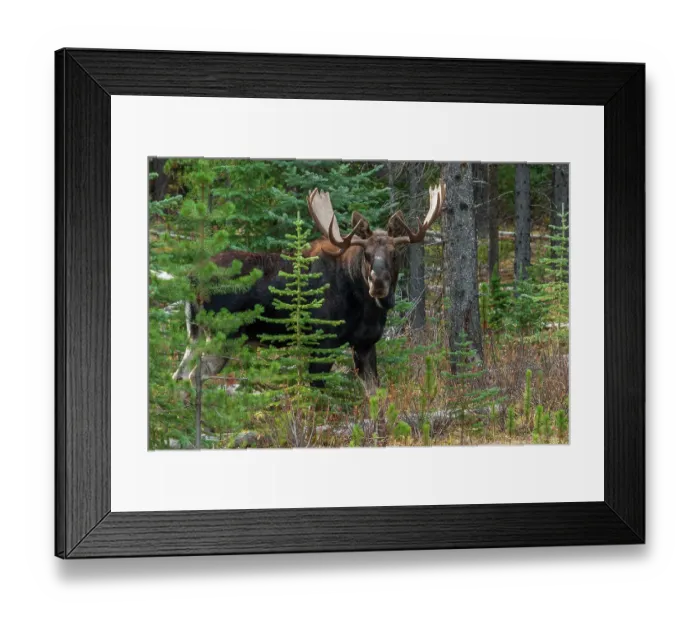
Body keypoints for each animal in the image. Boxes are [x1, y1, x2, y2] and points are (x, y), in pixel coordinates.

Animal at [171, 182, 445, 396]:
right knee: (195, 374)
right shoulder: (322, 342)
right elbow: (317, 393)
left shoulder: (365, 342)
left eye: (394, 254)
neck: (366, 307)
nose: (378, 283)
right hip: (223, 334)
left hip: (195, 333)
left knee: (179, 374)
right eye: (366, 254)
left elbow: (374, 394)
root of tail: (191, 277)